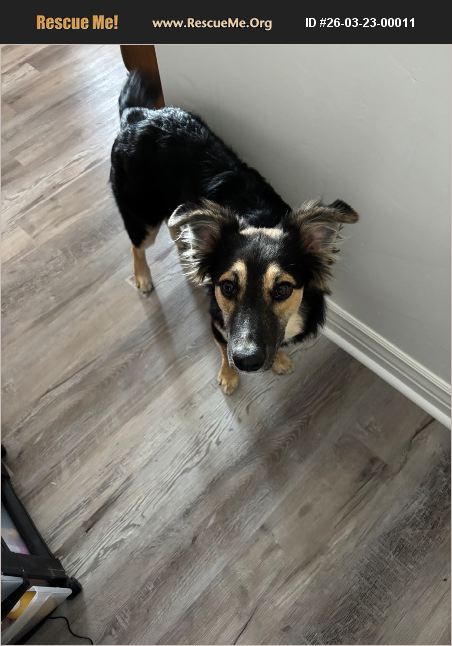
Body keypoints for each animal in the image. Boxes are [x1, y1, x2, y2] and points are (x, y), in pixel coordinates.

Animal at [110, 72, 359, 394]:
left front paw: (279, 359)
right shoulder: (217, 321)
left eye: (283, 289)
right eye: (227, 287)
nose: (247, 362)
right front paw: (228, 376)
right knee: (137, 244)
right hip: (143, 217)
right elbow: (221, 348)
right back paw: (143, 277)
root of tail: (139, 115)